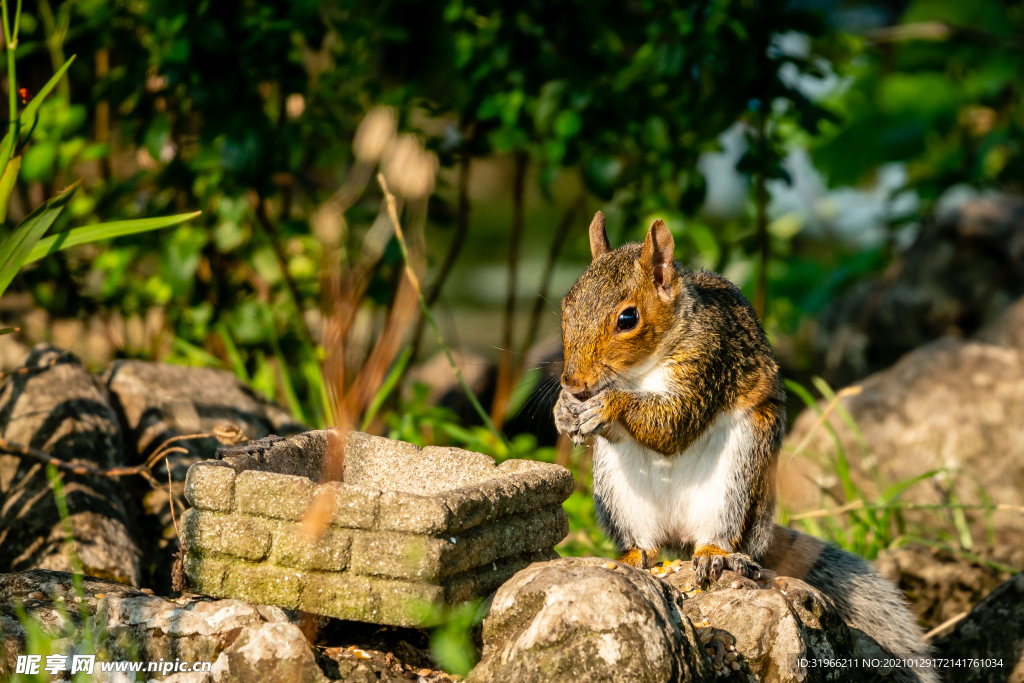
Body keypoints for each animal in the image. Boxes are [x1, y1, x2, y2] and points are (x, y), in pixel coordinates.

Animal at [557, 209, 937, 683]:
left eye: (628, 319)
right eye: (565, 305)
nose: (574, 383)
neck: (644, 368)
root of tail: (680, 537)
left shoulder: (709, 360)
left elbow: (673, 423)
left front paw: (610, 405)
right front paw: (563, 411)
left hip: (738, 475)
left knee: (721, 536)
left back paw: (717, 557)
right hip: (618, 490)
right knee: (644, 543)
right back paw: (631, 558)